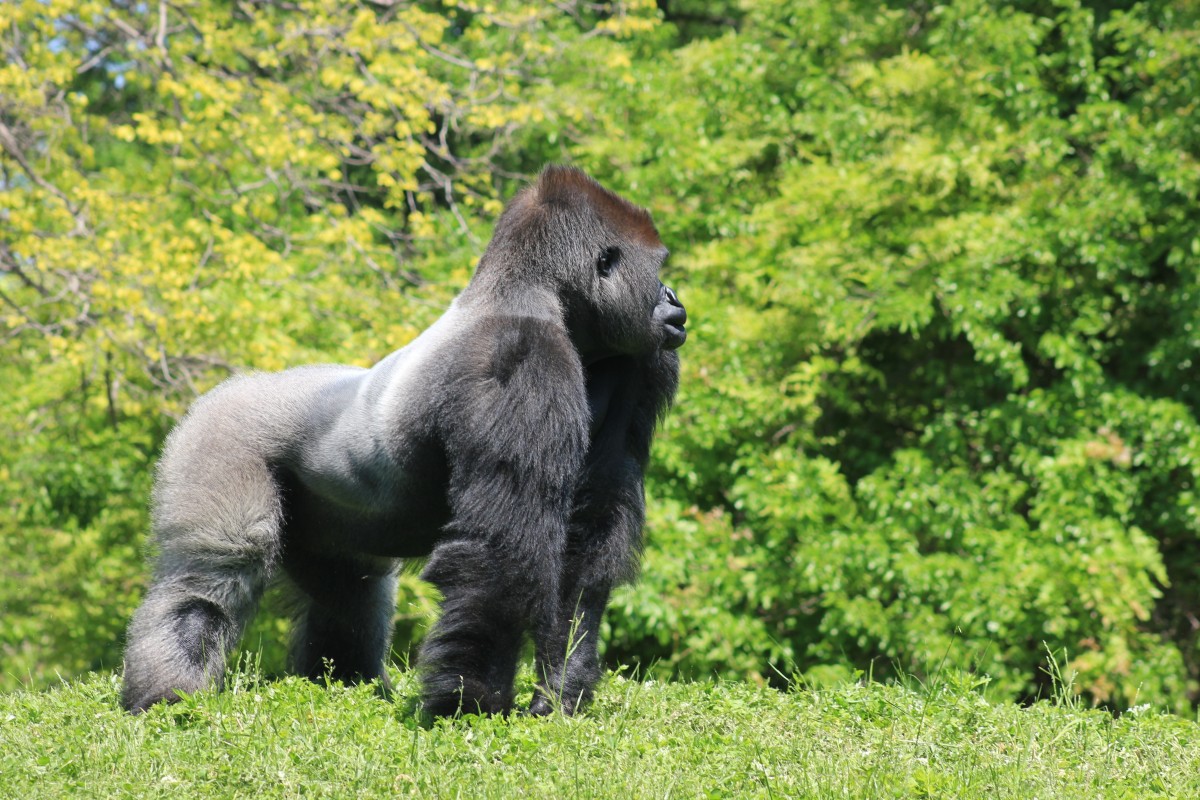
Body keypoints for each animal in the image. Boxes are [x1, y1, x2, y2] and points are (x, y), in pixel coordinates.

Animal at [121, 165, 686, 716]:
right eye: (658, 269)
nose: (674, 297)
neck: (540, 296)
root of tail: (223, 390)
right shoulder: (521, 356)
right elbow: (500, 557)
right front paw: (472, 705)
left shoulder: (632, 361)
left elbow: (586, 539)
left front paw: (561, 693)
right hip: (217, 436)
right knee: (212, 576)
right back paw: (167, 694)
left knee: (350, 593)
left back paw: (345, 682)